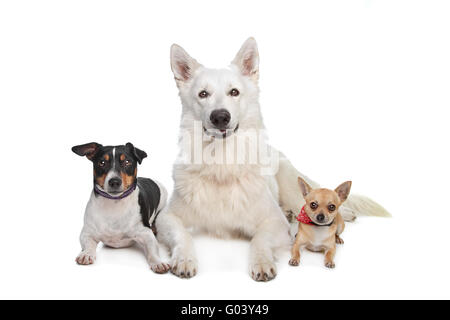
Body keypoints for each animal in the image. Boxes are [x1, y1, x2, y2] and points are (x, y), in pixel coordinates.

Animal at [156, 37, 390, 282]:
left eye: (234, 92)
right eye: (203, 94)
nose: (220, 116)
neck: (223, 163)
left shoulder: (275, 223)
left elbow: (260, 239)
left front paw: (261, 261)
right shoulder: (167, 218)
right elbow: (182, 235)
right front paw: (184, 259)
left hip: (295, 189)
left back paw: (344, 213)